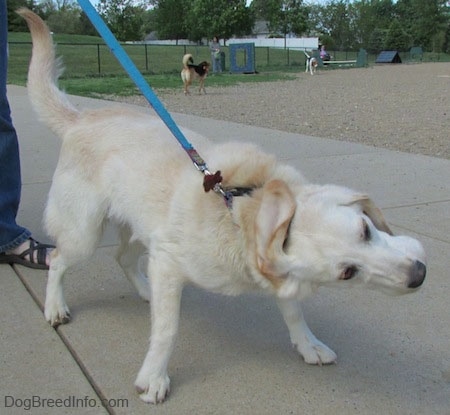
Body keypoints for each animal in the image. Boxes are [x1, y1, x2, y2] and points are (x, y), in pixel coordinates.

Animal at [20, 9, 428, 406]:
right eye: (348, 272)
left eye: (366, 230)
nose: (419, 275)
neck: (243, 205)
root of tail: (80, 118)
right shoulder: (169, 262)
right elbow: (167, 330)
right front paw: (154, 376)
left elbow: (293, 310)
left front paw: (307, 344)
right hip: (85, 233)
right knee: (58, 260)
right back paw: (54, 306)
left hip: (143, 229)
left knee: (122, 258)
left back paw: (146, 291)